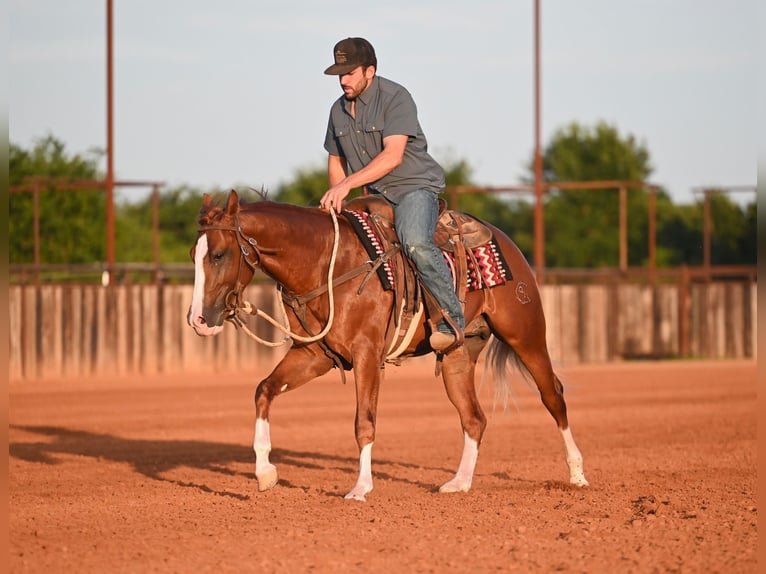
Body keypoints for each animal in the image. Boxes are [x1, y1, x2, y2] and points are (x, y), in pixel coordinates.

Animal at [187, 189, 588, 501]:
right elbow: (264, 391)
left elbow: (364, 422)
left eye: (219, 254)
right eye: (195, 254)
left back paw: (577, 474)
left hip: (526, 335)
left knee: (552, 395)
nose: (198, 320)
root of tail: (507, 244)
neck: (327, 264)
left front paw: (360, 488)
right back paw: (459, 483)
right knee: (474, 418)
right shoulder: (314, 355)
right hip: (457, 356)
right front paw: (265, 472)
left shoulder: (367, 354)